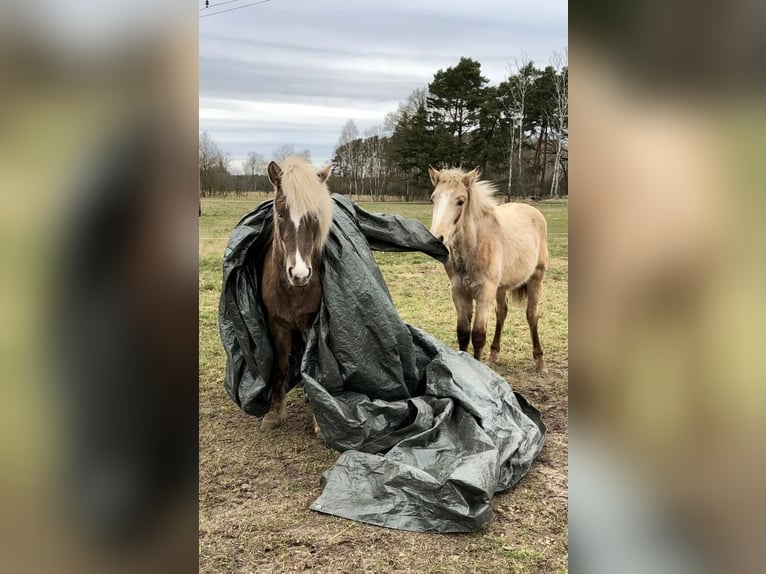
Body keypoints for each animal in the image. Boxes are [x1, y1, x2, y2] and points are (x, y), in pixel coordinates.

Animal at [260, 155, 332, 430]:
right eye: (280, 213)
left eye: (315, 216)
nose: (300, 274)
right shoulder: (276, 324)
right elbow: (280, 366)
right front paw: (273, 413)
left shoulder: (312, 322)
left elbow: (310, 362)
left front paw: (319, 420)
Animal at [428, 165, 548, 374]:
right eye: (433, 198)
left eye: (460, 201)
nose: (437, 239)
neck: (474, 246)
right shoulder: (459, 292)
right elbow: (463, 333)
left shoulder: (485, 292)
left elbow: (477, 335)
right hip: (501, 287)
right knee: (502, 313)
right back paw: (493, 355)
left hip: (535, 278)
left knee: (532, 315)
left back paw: (540, 362)